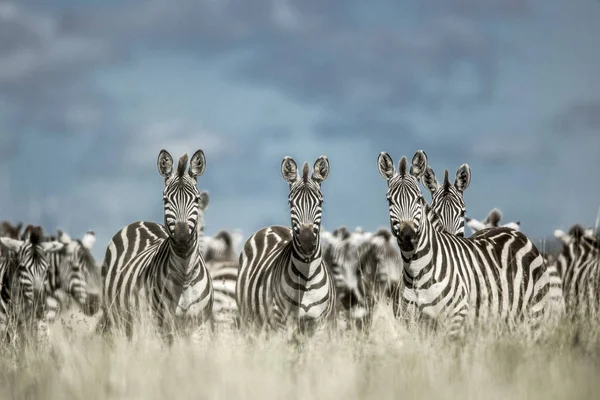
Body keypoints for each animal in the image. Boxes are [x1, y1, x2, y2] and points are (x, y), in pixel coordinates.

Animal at [102, 148, 214, 342]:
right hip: (121, 319)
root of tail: (140, 222)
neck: (185, 277)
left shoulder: (197, 326)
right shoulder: (162, 325)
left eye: (197, 199)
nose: (182, 238)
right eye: (166, 200)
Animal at [236, 155, 338, 336]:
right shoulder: (282, 324)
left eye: (320, 202)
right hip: (250, 322)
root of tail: (271, 227)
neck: (307, 277)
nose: (307, 242)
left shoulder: (321, 324)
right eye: (291, 203)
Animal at [378, 150, 552, 338]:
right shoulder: (411, 324)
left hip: (534, 313)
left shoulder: (455, 319)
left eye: (418, 199)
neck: (416, 271)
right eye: (389, 201)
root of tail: (514, 232)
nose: (407, 236)